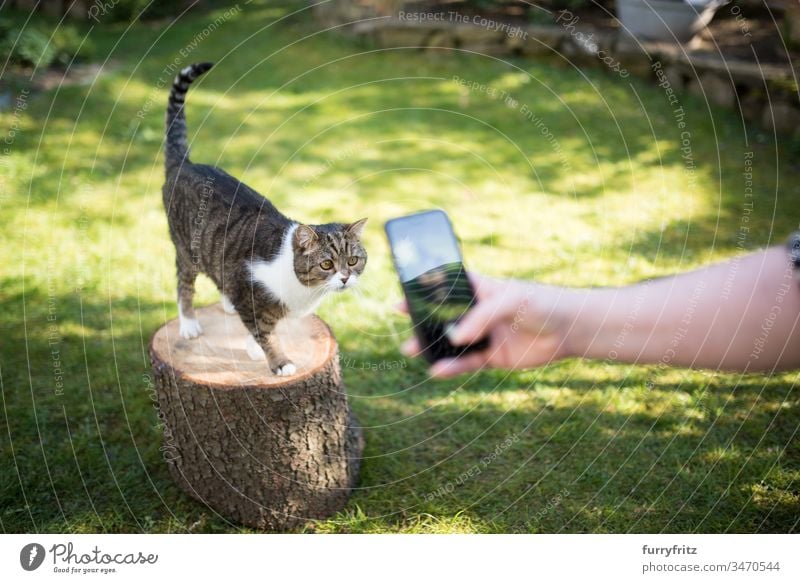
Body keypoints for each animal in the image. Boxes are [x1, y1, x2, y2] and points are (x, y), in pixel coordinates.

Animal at [163, 61, 368, 376]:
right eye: (326, 264)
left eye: (354, 260)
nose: (345, 278)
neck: (305, 290)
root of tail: (184, 164)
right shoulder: (248, 290)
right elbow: (265, 332)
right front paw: (279, 361)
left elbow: (262, 329)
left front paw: (252, 347)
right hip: (187, 248)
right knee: (183, 284)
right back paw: (189, 323)